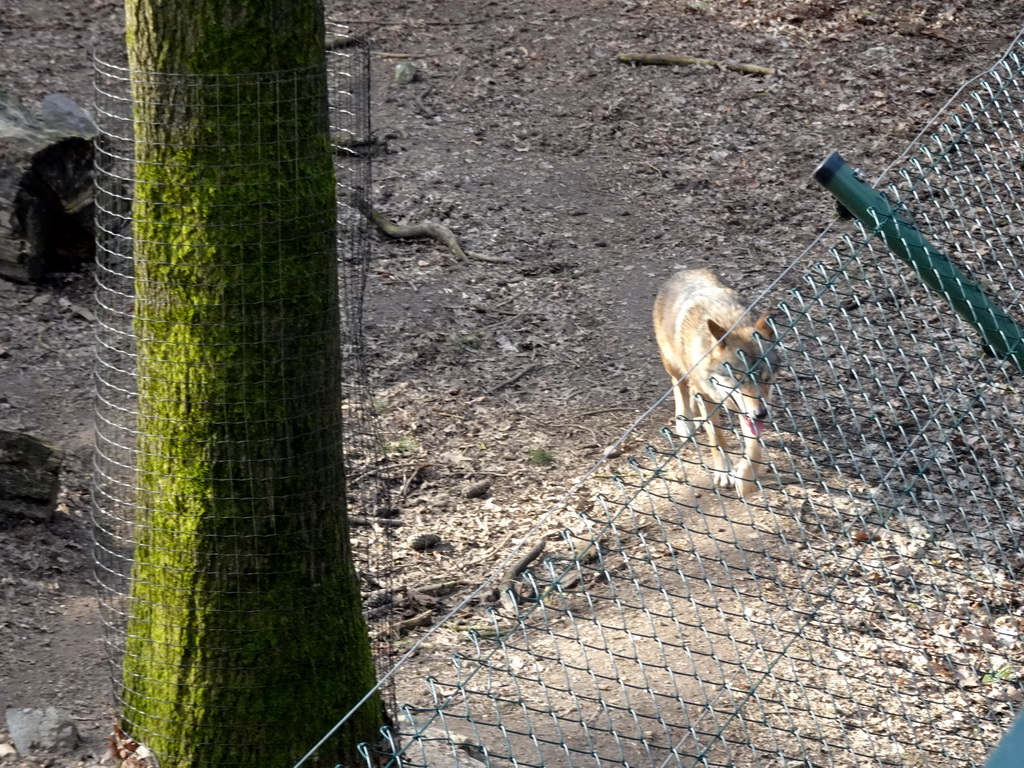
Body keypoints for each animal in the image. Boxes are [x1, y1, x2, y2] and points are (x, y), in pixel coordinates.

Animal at [655, 270, 774, 499]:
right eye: (739, 378)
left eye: (767, 378)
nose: (762, 414)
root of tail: (684, 271)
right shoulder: (708, 397)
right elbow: (717, 437)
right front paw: (725, 472)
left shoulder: (746, 408)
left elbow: (754, 447)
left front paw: (745, 478)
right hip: (672, 363)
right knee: (679, 385)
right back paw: (684, 421)